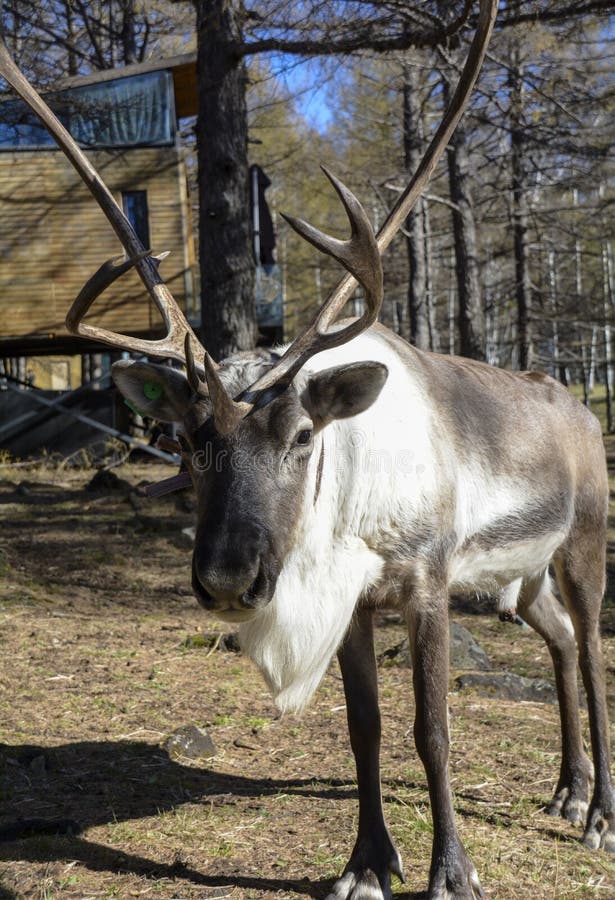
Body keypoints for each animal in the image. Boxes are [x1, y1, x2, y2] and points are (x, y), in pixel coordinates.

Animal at [1, 2, 613, 897]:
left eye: (300, 436)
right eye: (187, 437)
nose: (228, 578)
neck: (343, 514)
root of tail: (575, 406)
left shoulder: (426, 584)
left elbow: (431, 728)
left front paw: (450, 872)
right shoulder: (353, 603)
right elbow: (364, 728)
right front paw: (365, 865)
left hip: (580, 544)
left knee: (594, 648)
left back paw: (598, 813)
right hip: (517, 575)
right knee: (562, 641)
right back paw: (566, 791)